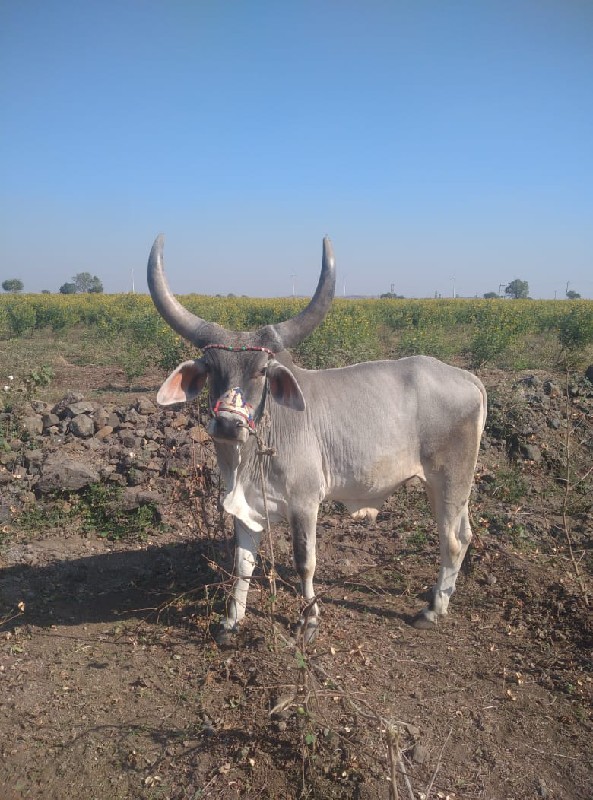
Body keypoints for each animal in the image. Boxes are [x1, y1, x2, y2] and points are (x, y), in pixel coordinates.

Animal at [148, 238, 486, 644]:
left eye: (262, 371)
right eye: (212, 368)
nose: (229, 424)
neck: (251, 456)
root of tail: (467, 378)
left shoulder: (305, 502)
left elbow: (304, 562)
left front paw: (309, 620)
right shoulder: (246, 508)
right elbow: (243, 564)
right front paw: (231, 620)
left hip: (451, 480)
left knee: (451, 540)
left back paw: (433, 610)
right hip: (445, 486)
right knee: (463, 535)